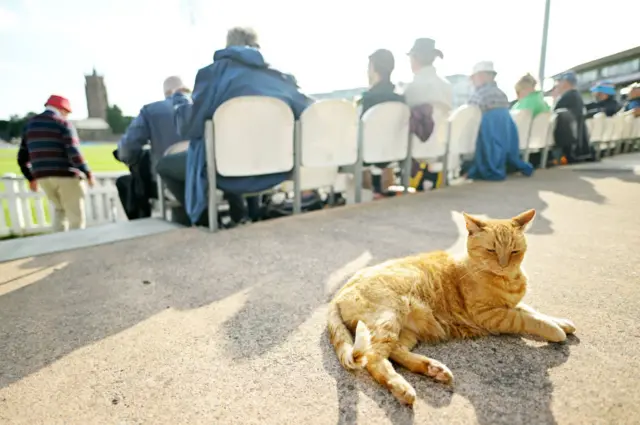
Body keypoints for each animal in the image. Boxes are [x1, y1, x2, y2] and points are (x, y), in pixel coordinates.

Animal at [330, 209, 576, 404]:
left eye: (514, 251)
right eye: (491, 250)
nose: (504, 265)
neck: (509, 280)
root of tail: (338, 292)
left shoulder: (510, 306)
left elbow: (532, 310)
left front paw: (561, 322)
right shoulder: (491, 315)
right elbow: (527, 318)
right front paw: (555, 331)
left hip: (406, 330)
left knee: (395, 351)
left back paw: (433, 369)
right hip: (388, 317)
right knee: (374, 358)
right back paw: (402, 388)